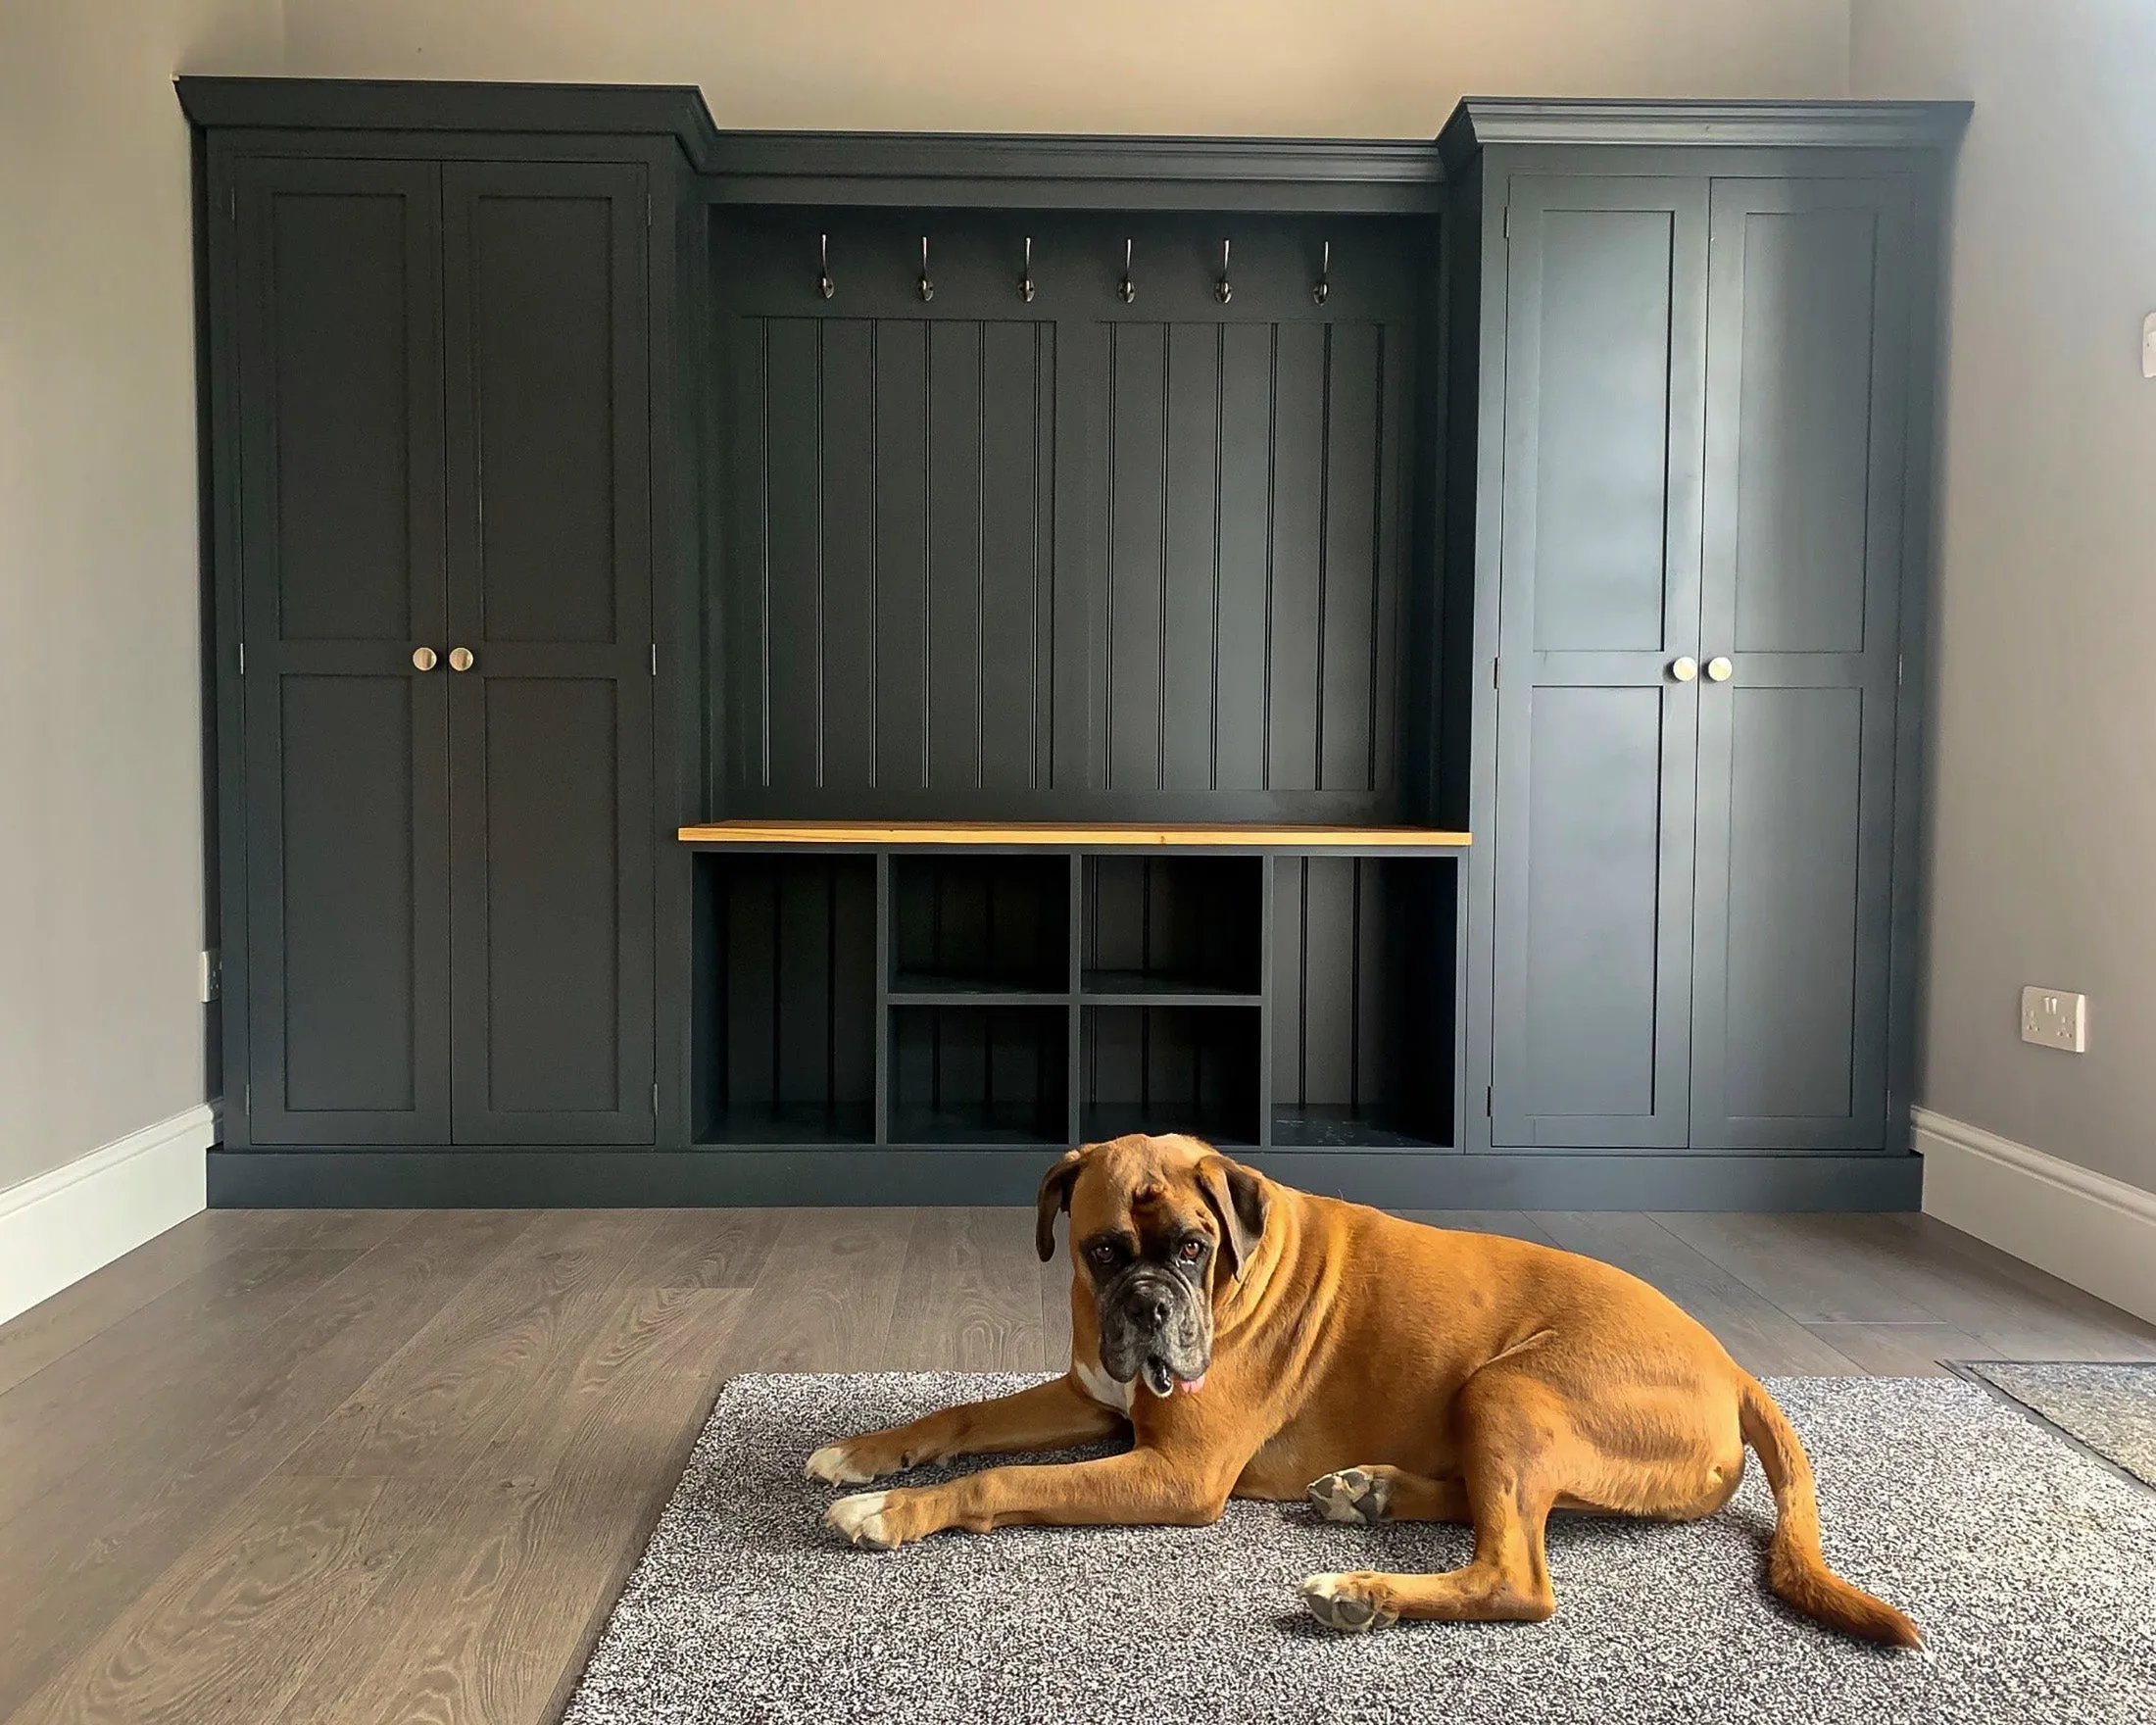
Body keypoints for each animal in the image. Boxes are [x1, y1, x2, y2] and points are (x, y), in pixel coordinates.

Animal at [810, 1129, 1923, 1647]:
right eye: (1102, 1250)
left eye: (1194, 1246)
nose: (1150, 1307)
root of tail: (1734, 1366)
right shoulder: (1093, 1396)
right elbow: (962, 1415)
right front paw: (862, 1453)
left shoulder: (1175, 1472)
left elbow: (996, 1480)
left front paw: (888, 1511)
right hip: (1504, 1415)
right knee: (1504, 1513)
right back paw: (1365, 1494)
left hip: (1508, 1389)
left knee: (1515, 1576)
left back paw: (1357, 1591)